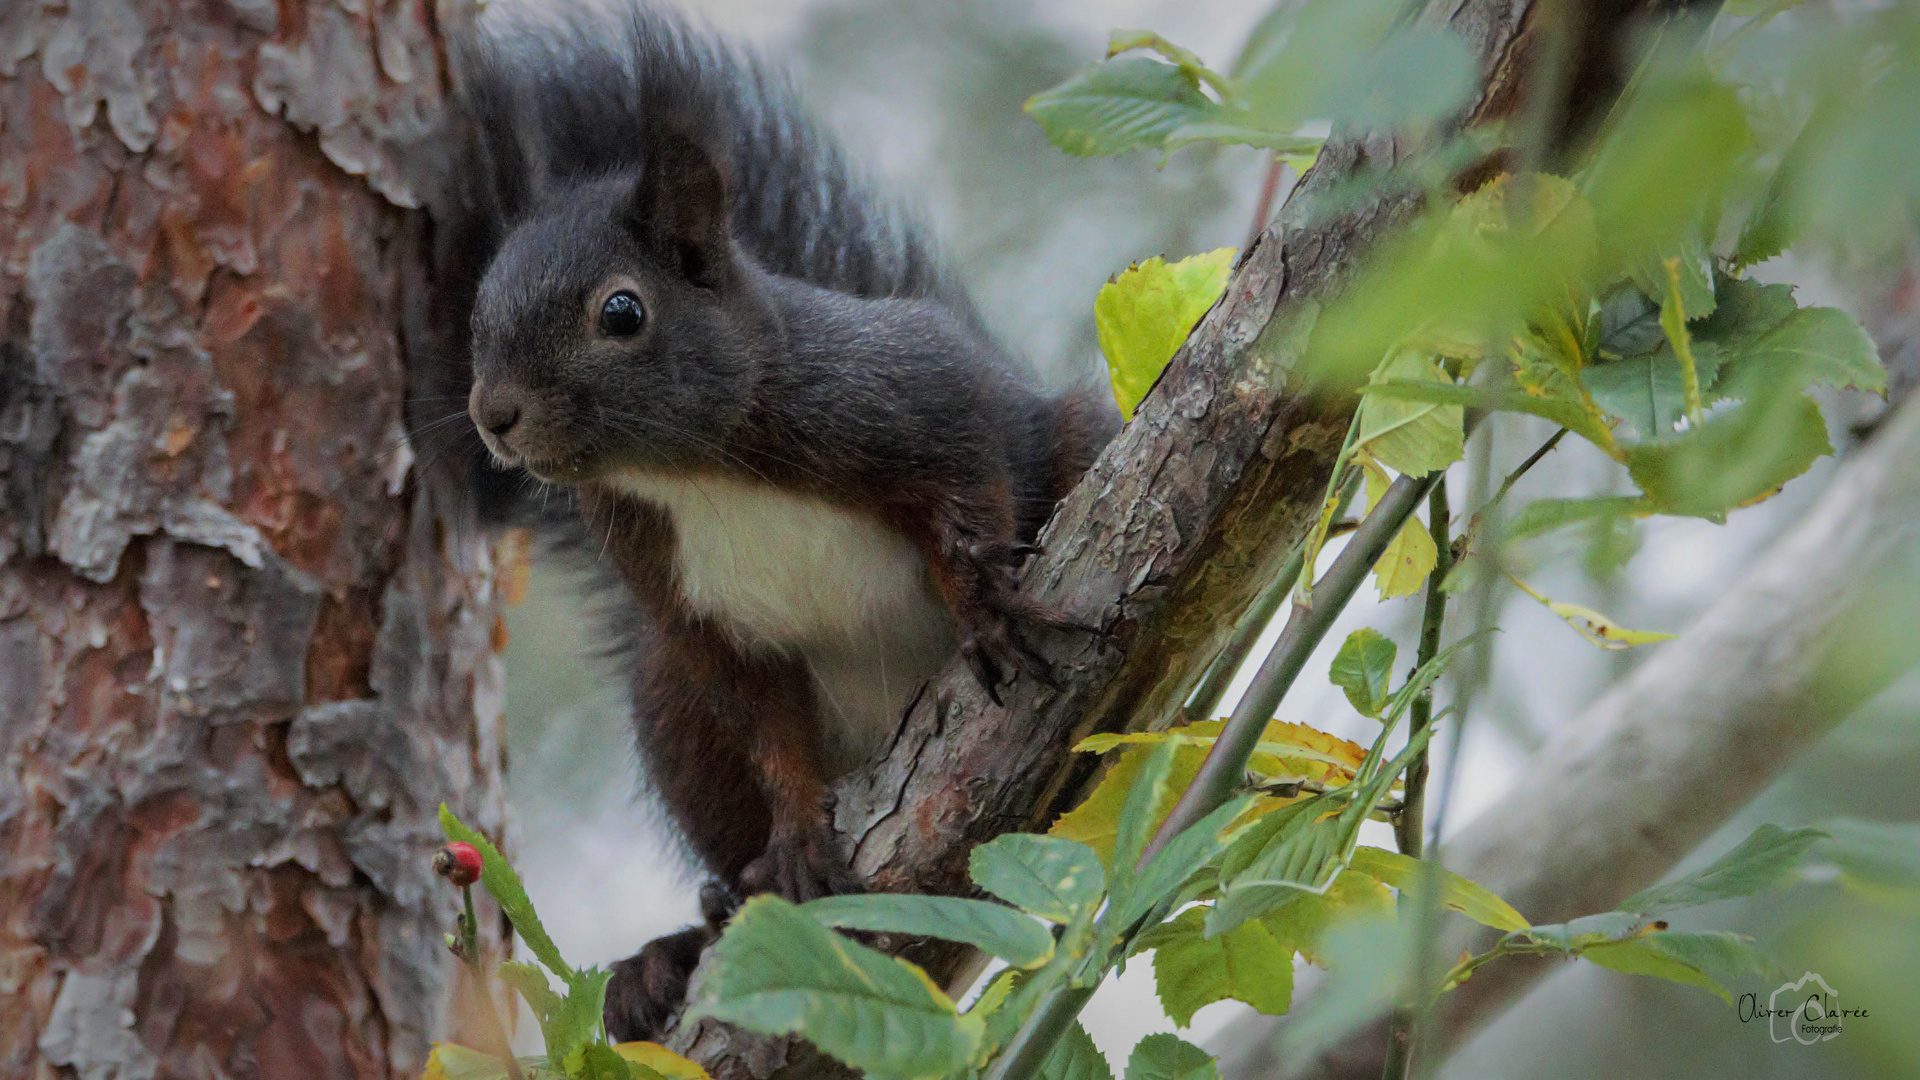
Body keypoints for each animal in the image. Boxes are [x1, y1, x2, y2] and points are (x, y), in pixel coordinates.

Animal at [439, 2, 1121, 1045]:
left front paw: (985, 603)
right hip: (671, 703)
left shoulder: (907, 394)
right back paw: (677, 950)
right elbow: (766, 726)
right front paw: (799, 829)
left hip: (1078, 445)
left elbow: (967, 485)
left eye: (622, 312)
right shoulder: (697, 613)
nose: (494, 413)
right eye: (479, 312)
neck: (690, 473)